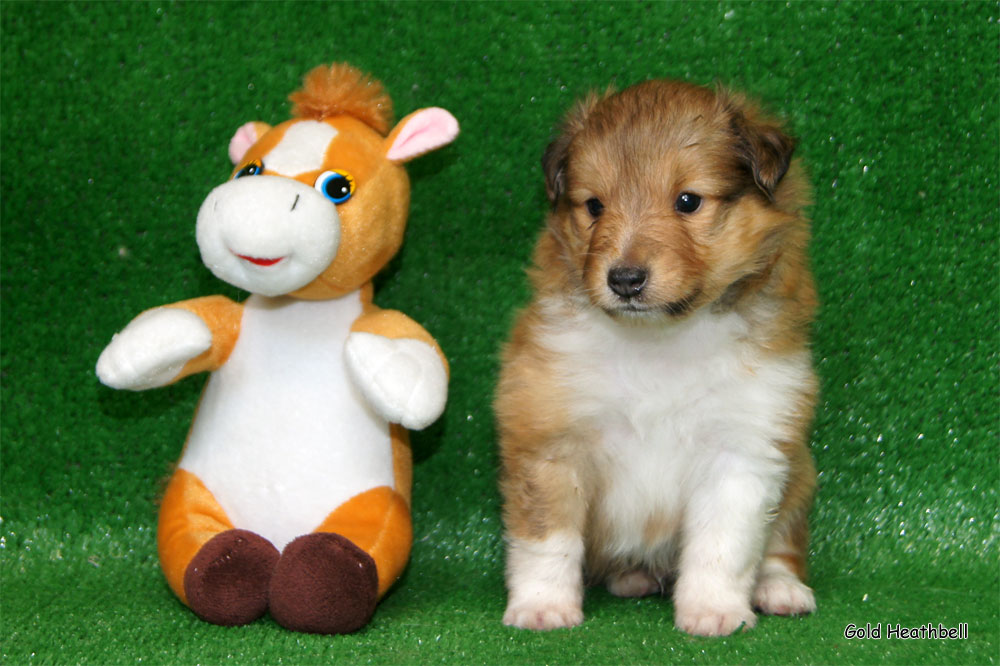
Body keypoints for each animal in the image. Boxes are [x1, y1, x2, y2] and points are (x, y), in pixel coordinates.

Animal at [496, 80, 816, 636]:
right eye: (594, 206)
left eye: (688, 201)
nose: (624, 280)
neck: (658, 340)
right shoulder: (550, 437)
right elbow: (547, 539)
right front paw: (542, 606)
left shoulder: (743, 446)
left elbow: (722, 546)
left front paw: (713, 611)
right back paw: (633, 577)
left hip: (800, 474)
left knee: (782, 545)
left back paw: (780, 590)